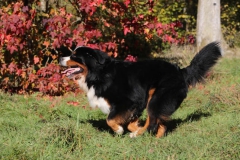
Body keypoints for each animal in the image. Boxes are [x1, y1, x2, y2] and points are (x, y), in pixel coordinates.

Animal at [59, 42, 221, 138]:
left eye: (74, 56)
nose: (60, 58)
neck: (99, 74)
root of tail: (180, 71)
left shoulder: (129, 101)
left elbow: (110, 119)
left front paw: (120, 130)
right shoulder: (136, 104)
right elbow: (130, 122)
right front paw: (134, 128)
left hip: (157, 98)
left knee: (153, 121)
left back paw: (138, 135)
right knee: (160, 122)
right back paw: (155, 140)